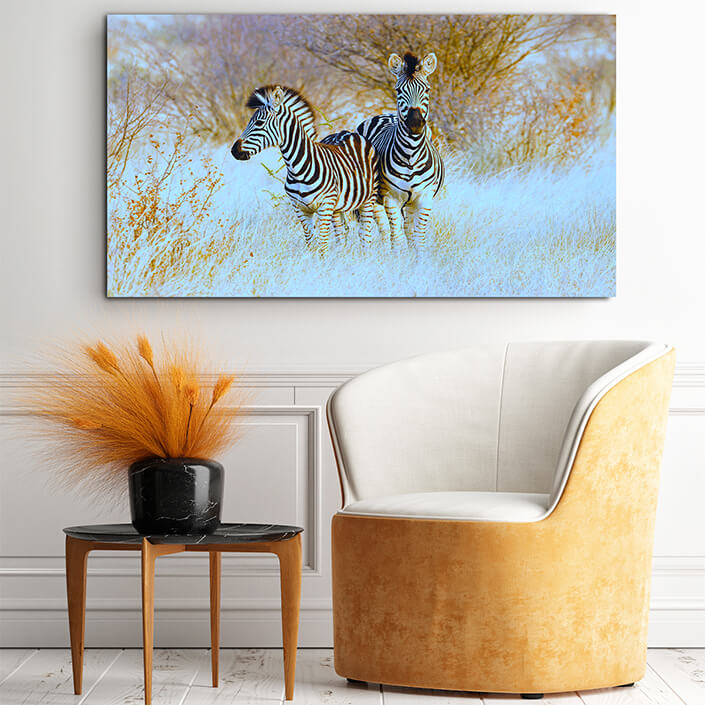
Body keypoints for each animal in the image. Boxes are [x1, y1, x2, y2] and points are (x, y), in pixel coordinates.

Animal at [231, 86, 377, 255]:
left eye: (259, 123)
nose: (234, 150)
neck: (298, 168)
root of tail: (348, 132)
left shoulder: (324, 206)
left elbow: (323, 244)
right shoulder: (300, 209)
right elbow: (310, 243)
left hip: (368, 199)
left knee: (365, 234)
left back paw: (365, 255)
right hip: (337, 207)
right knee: (341, 235)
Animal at [356, 52, 445, 254]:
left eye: (427, 90)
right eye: (398, 90)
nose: (415, 124)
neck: (411, 154)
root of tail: (386, 114)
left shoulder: (424, 198)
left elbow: (418, 239)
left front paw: (417, 260)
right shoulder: (391, 199)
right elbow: (396, 238)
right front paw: (397, 259)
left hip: (410, 203)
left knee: (408, 230)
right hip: (375, 198)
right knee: (383, 230)